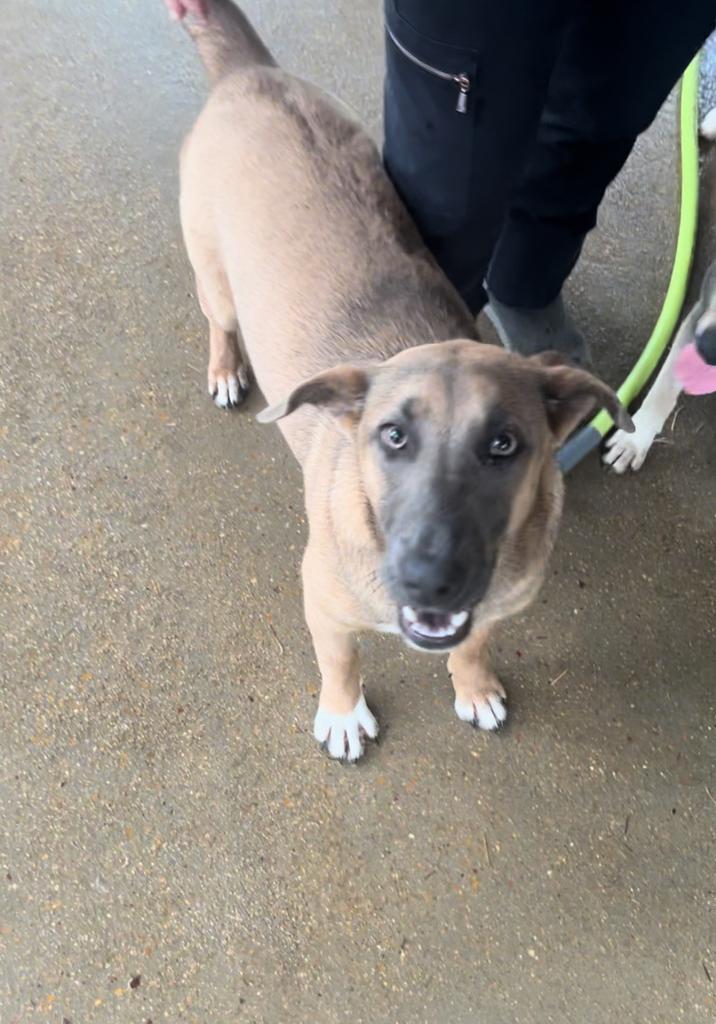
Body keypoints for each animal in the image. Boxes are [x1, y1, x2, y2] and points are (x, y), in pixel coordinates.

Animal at [179, 2, 630, 761]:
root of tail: (251, 74)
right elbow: (340, 659)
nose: (431, 580)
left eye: (505, 445)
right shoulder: (322, 600)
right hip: (214, 275)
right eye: (391, 436)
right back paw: (225, 367)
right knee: (219, 319)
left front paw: (474, 686)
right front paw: (342, 713)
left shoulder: (492, 606)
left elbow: (473, 644)